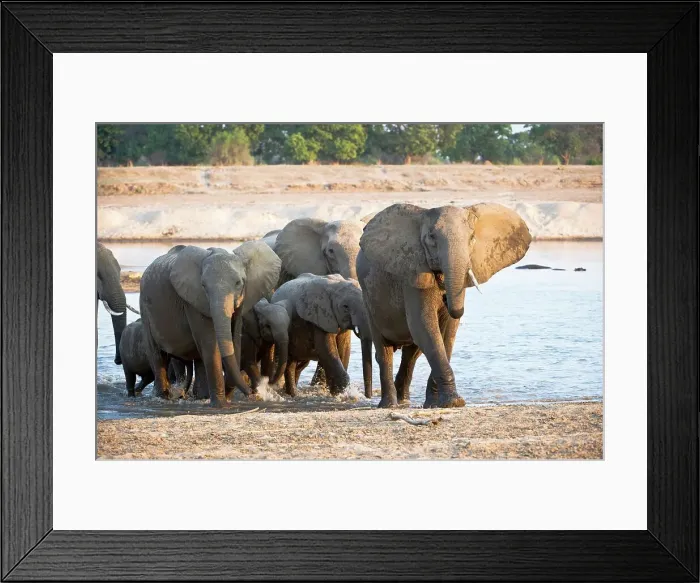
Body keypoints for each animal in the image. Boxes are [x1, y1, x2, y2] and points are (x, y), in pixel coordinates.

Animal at [139, 241, 281, 407]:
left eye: (239, 283)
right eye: (204, 286)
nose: (255, 395)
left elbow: (235, 339)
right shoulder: (192, 302)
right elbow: (209, 344)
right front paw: (221, 405)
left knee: (198, 360)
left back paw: (200, 397)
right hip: (145, 309)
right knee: (157, 356)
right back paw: (162, 397)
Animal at [357, 203, 531, 408]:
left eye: (471, 238)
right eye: (432, 238)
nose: (447, 299)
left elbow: (447, 333)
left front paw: (436, 404)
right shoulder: (411, 275)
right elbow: (424, 325)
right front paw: (454, 402)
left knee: (412, 354)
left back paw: (404, 400)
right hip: (368, 301)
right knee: (384, 352)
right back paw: (389, 405)